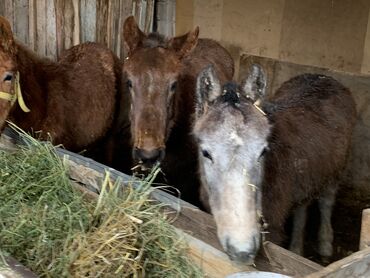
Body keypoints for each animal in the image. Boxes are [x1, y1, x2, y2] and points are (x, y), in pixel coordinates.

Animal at [192, 64, 356, 264]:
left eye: (263, 151)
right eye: (206, 153)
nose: (242, 251)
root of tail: (324, 76)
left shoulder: (273, 226)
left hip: (336, 171)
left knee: (326, 202)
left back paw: (325, 247)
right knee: (302, 209)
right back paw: (296, 248)